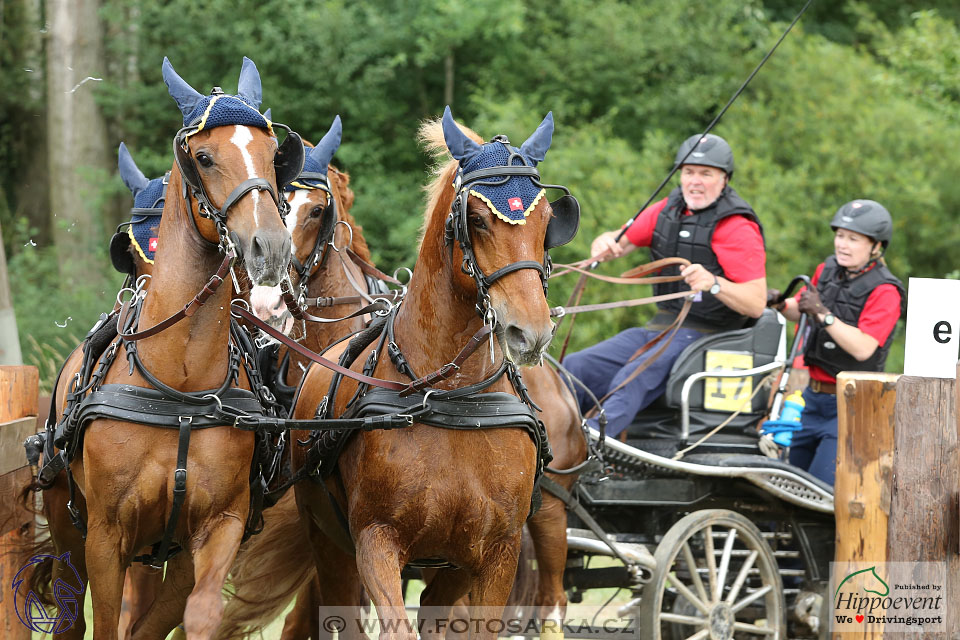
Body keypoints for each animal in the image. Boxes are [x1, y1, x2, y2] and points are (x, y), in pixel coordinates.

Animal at [31, 56, 296, 640]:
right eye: (204, 157)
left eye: (273, 155)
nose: (270, 247)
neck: (180, 386)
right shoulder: (107, 536)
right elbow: (107, 623)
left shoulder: (219, 526)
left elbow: (198, 614)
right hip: (68, 530)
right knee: (71, 615)